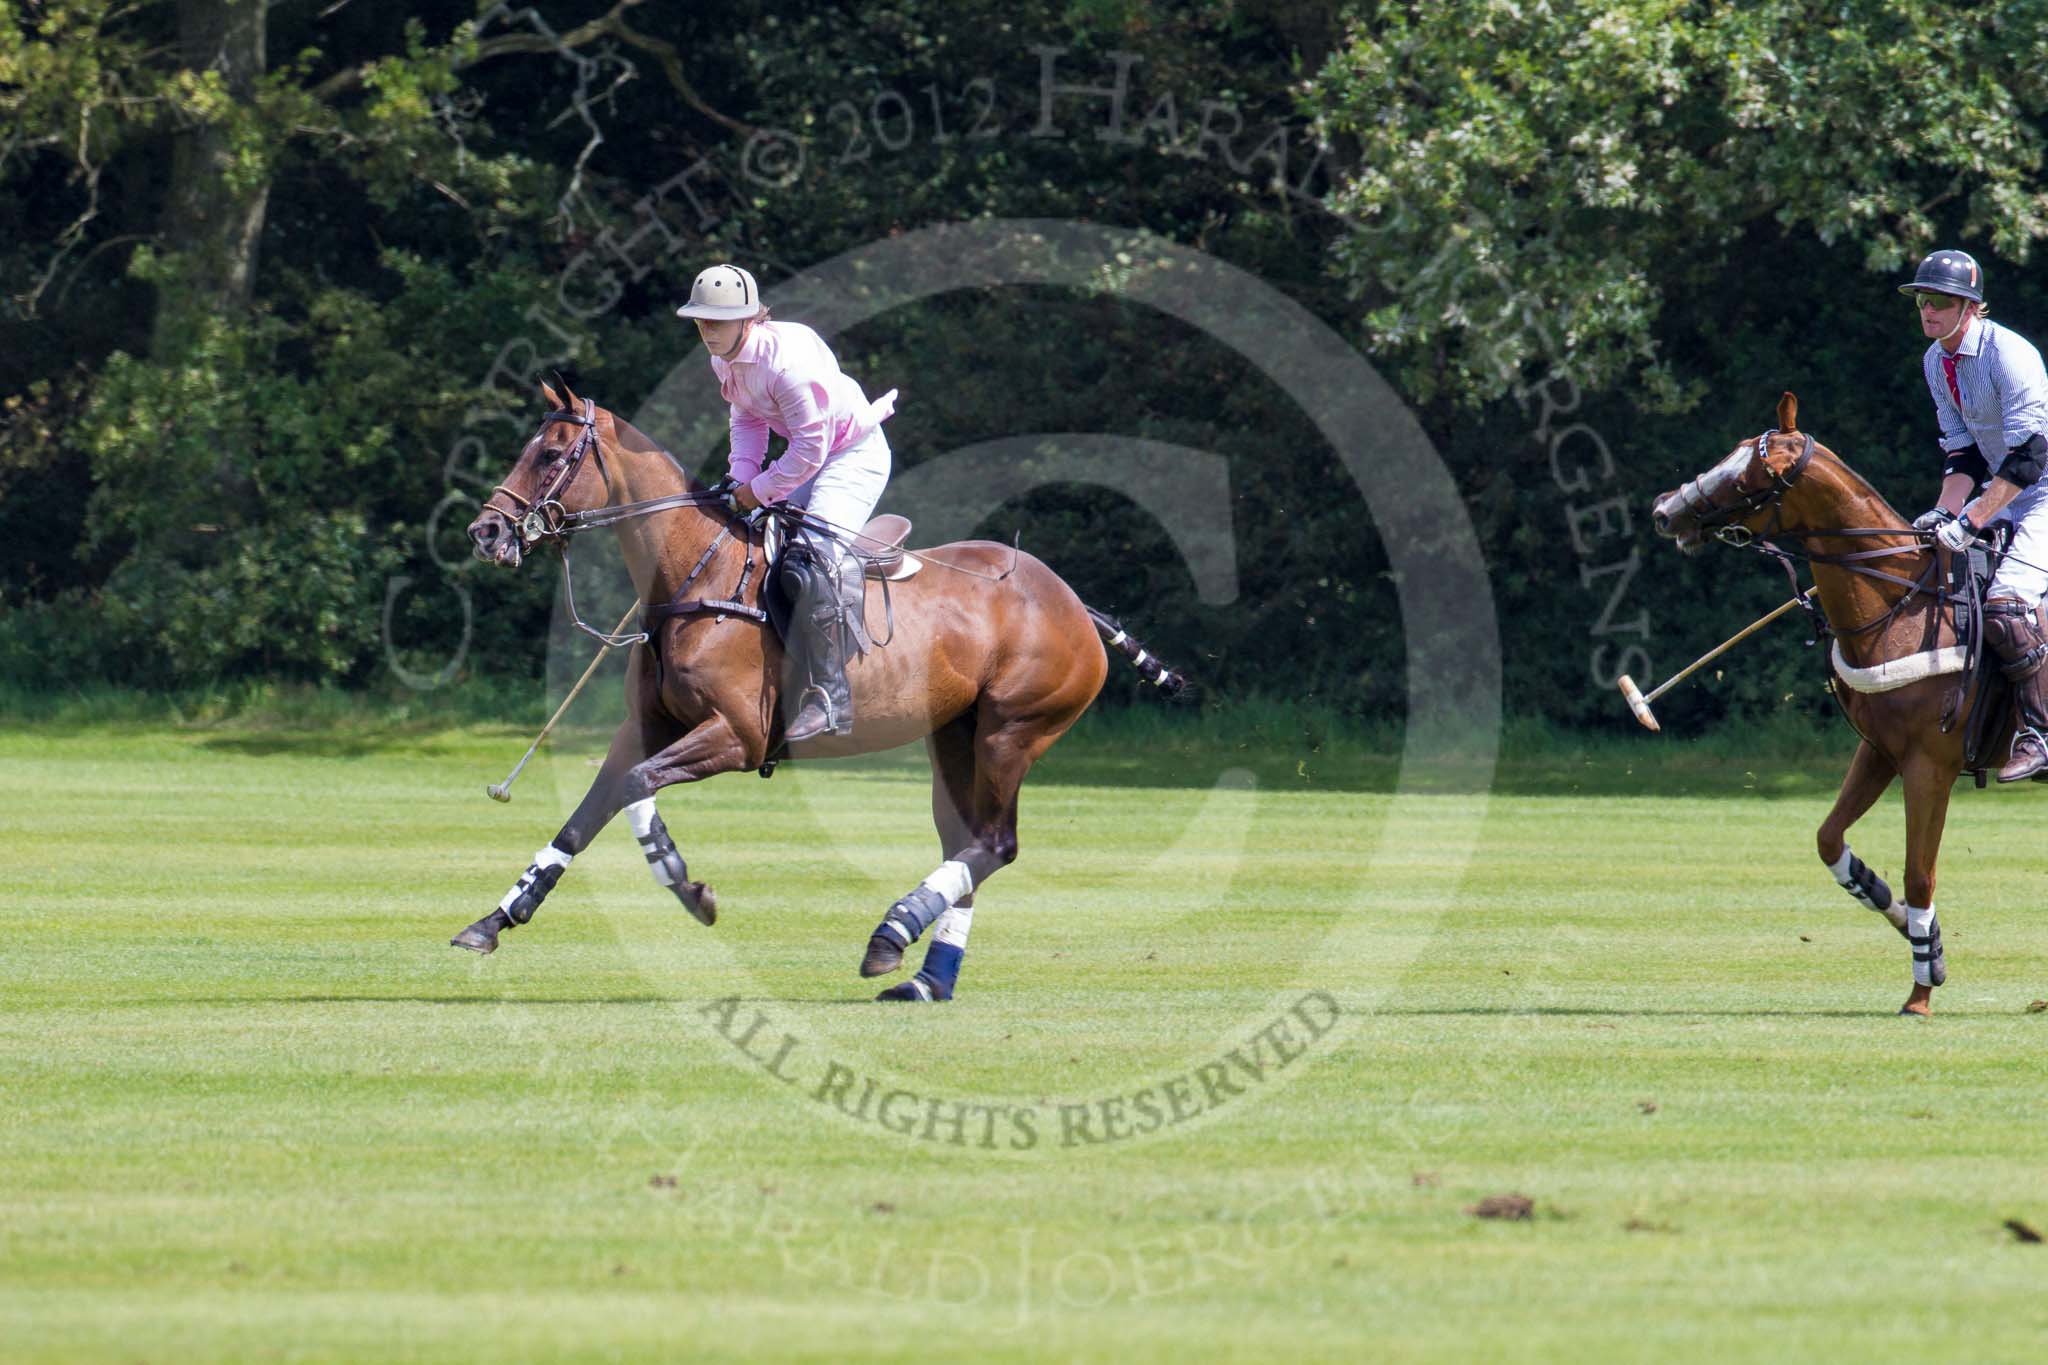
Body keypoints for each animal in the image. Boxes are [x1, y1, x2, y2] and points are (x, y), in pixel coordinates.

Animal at [448, 384, 1187, 1002]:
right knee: (967, 842)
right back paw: (926, 979)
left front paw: (684, 883)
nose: (485, 531)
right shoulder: (646, 725)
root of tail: (1074, 602)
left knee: (997, 844)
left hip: (1015, 730)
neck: (695, 572)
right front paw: (495, 920)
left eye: (548, 455)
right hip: (958, 735)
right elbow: (588, 812)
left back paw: (892, 932)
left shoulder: (739, 734)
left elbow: (635, 787)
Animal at [1646, 392, 2015, 1015]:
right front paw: (1914, 929)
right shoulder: (1882, 751)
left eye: (1753, 474)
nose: (1664, 510)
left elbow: (1920, 874)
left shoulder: (1930, 764)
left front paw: (1921, 992)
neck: (1903, 604)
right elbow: (1829, 840)